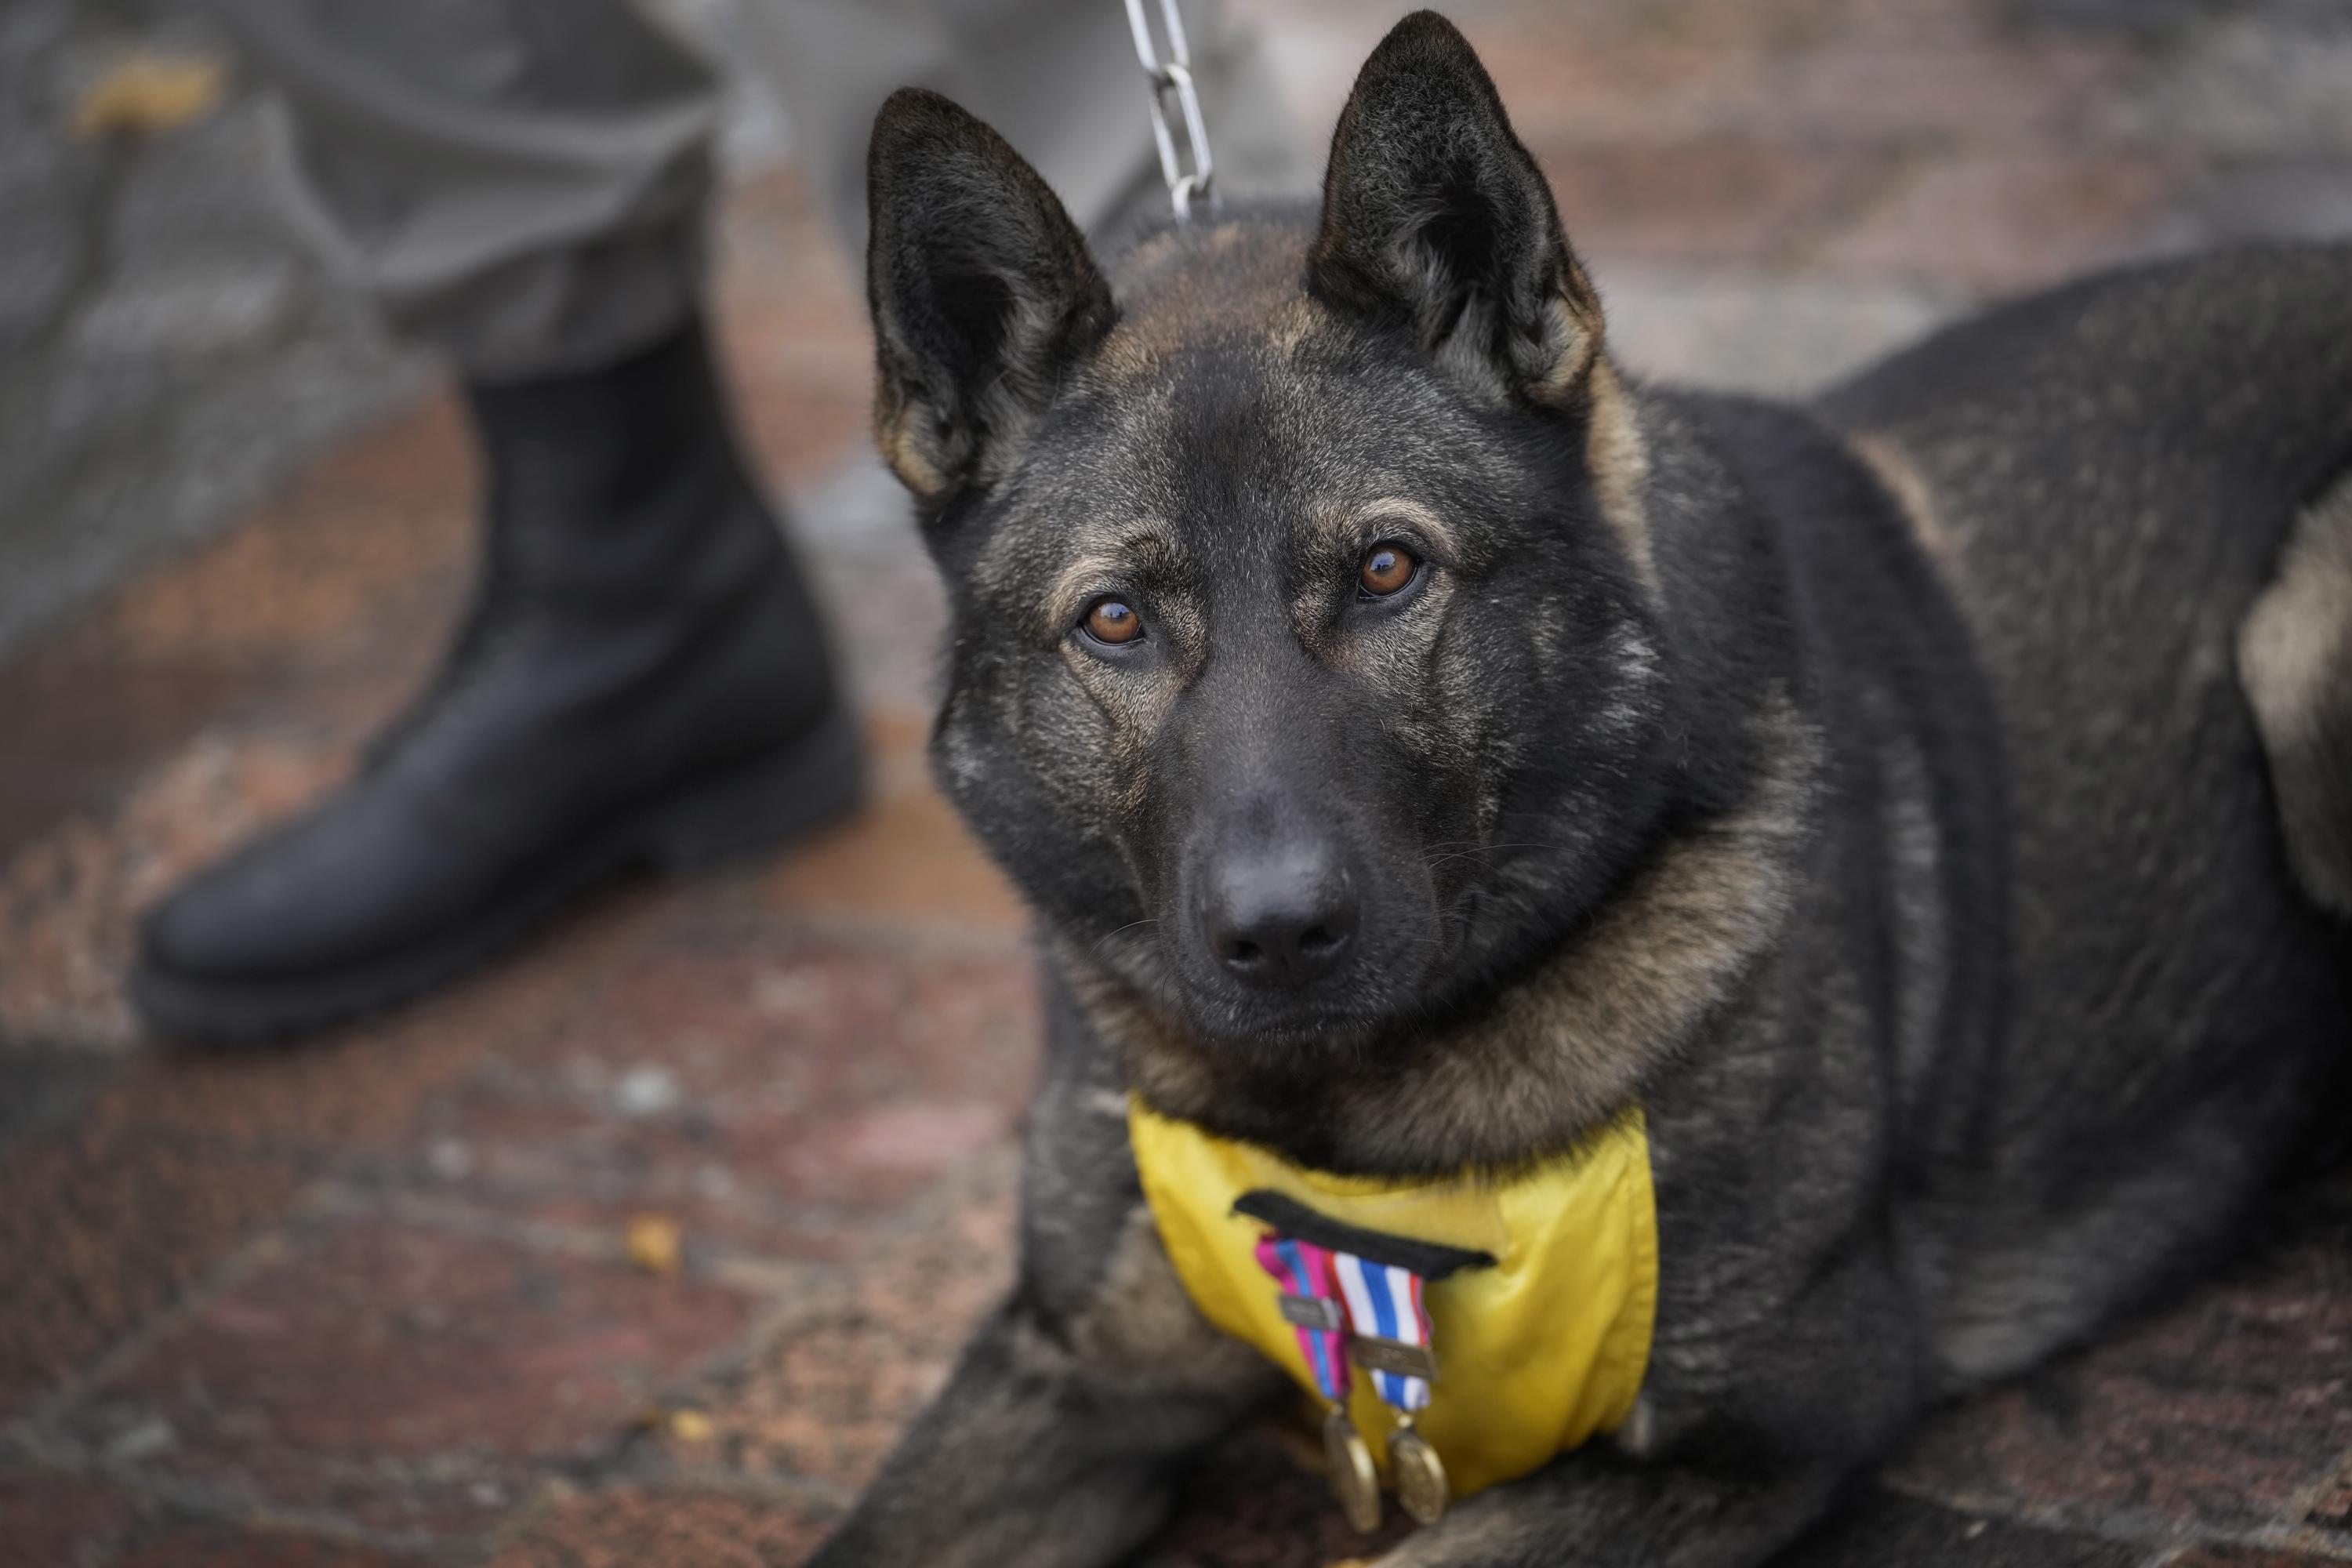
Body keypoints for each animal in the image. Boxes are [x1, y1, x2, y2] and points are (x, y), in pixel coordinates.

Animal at [814, 15, 2352, 1568]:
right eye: (1116, 620)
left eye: (1388, 571)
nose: (1279, 933)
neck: (1341, 1133)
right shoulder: (1070, 1372)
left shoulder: (1750, 1431)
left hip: (2299, 650)